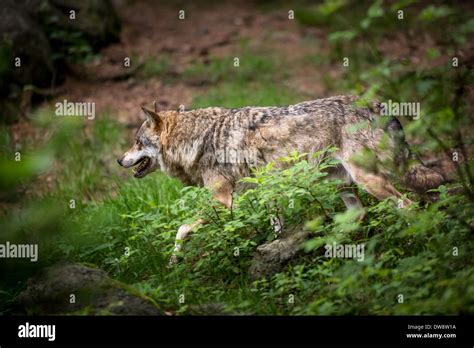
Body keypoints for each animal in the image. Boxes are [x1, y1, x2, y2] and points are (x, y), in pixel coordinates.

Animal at [118, 96, 444, 262]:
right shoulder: (265, 192)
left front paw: (174, 262)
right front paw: (275, 250)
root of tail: (378, 105)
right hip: (343, 185)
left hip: (370, 181)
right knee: (365, 213)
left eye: (136, 142)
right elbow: (276, 226)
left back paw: (421, 242)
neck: (196, 139)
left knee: (408, 205)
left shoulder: (224, 202)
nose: (119, 160)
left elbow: (181, 229)